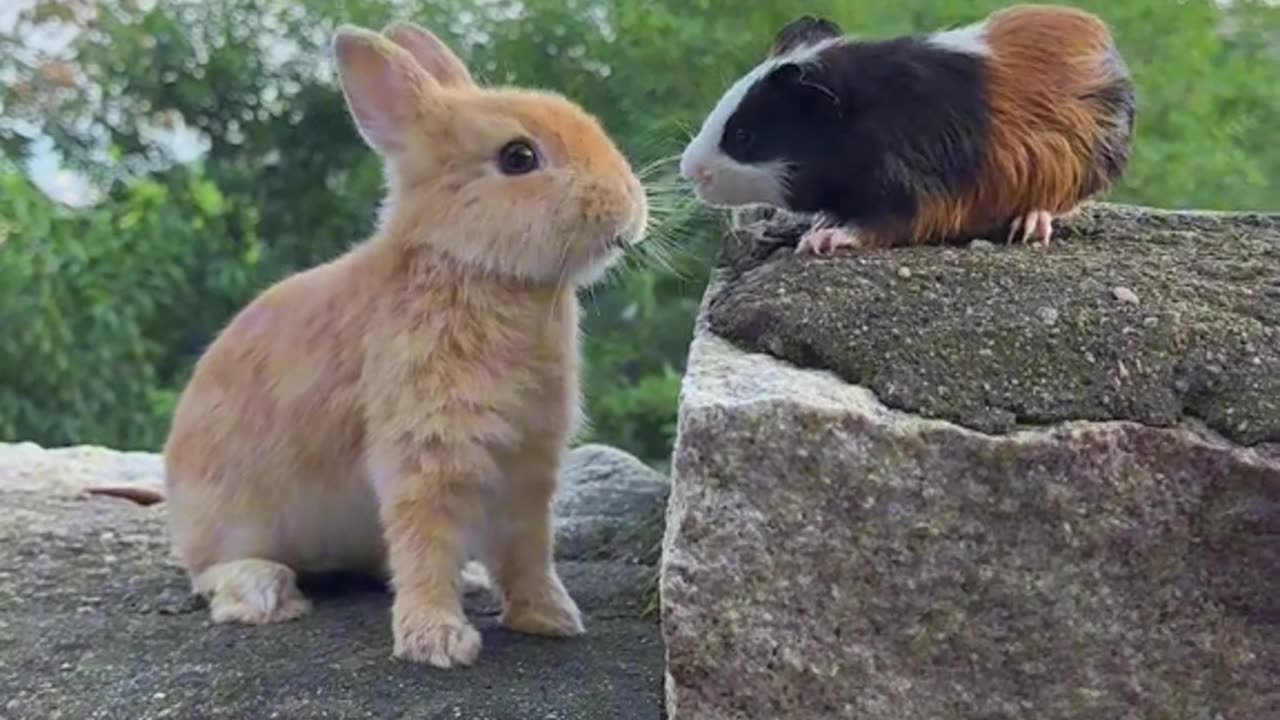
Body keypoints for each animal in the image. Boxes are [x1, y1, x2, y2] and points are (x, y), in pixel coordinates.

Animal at [161, 18, 650, 666]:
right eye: (518, 158)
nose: (629, 210)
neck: (468, 266)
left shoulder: (528, 463)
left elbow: (527, 547)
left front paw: (549, 618)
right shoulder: (426, 447)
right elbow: (426, 541)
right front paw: (437, 641)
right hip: (225, 518)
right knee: (212, 570)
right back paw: (264, 592)